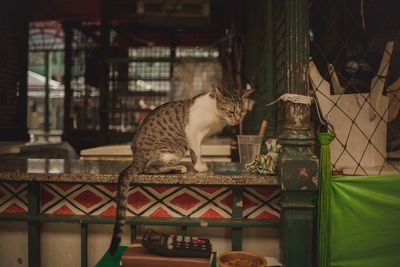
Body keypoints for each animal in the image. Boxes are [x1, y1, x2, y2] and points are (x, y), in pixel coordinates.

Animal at [108, 86, 255, 255]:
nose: (237, 121)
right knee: (150, 168)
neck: (216, 113)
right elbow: (196, 153)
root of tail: (136, 158)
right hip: (175, 146)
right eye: (231, 112)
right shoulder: (193, 133)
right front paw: (200, 167)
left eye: (242, 111)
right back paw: (179, 168)